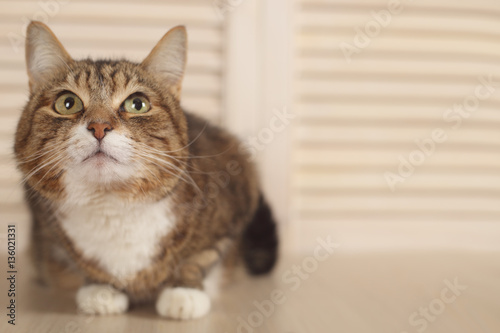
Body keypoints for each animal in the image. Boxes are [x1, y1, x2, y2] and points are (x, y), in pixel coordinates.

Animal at [12, 21, 278, 320]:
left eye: (137, 104)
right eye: (67, 103)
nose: (99, 126)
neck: (112, 205)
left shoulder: (238, 189)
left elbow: (203, 256)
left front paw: (184, 291)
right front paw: (100, 289)